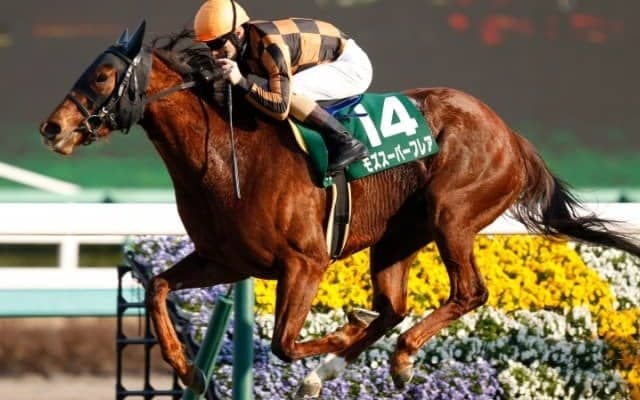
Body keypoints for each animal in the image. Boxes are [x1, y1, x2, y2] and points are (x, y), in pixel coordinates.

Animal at [39, 22, 640, 397]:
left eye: (101, 76)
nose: (52, 127)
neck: (227, 152)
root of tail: (510, 134)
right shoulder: (225, 259)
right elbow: (160, 287)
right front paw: (186, 368)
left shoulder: (305, 262)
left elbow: (283, 343)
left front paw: (338, 338)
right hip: (397, 238)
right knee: (395, 306)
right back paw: (347, 361)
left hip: (453, 215)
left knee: (467, 293)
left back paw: (396, 358)